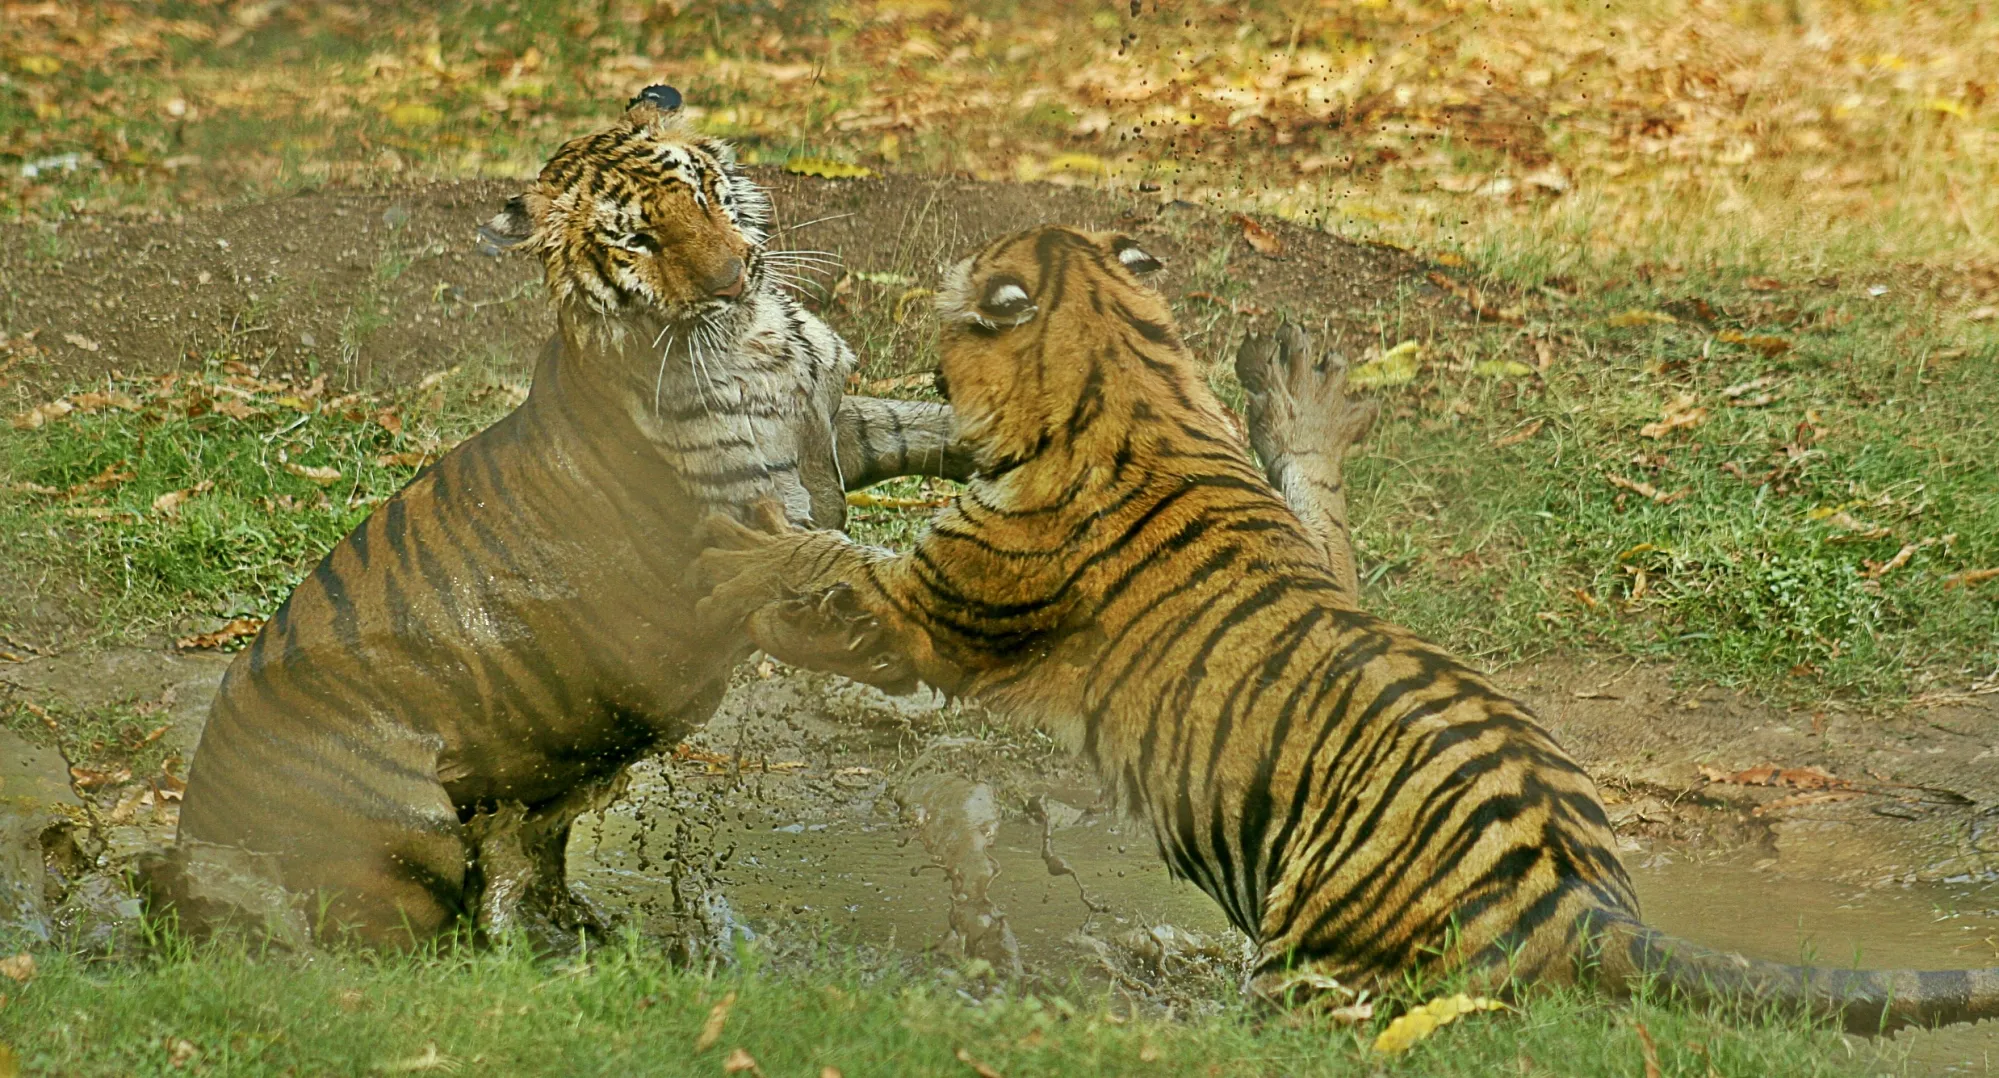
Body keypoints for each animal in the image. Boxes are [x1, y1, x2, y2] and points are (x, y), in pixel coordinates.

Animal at [145, 85, 972, 948]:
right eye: (637, 237)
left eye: (702, 193)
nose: (731, 279)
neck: (760, 343)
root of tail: (197, 824)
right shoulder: (738, 534)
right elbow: (837, 560)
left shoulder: (835, 431)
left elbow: (923, 426)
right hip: (402, 828)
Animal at [694, 224, 1999, 1032]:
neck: (1126, 376)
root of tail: (1584, 900)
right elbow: (1319, 505)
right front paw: (1299, 391)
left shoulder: (925, 611)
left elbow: (822, 573)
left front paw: (735, 536)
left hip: (1313, 960)